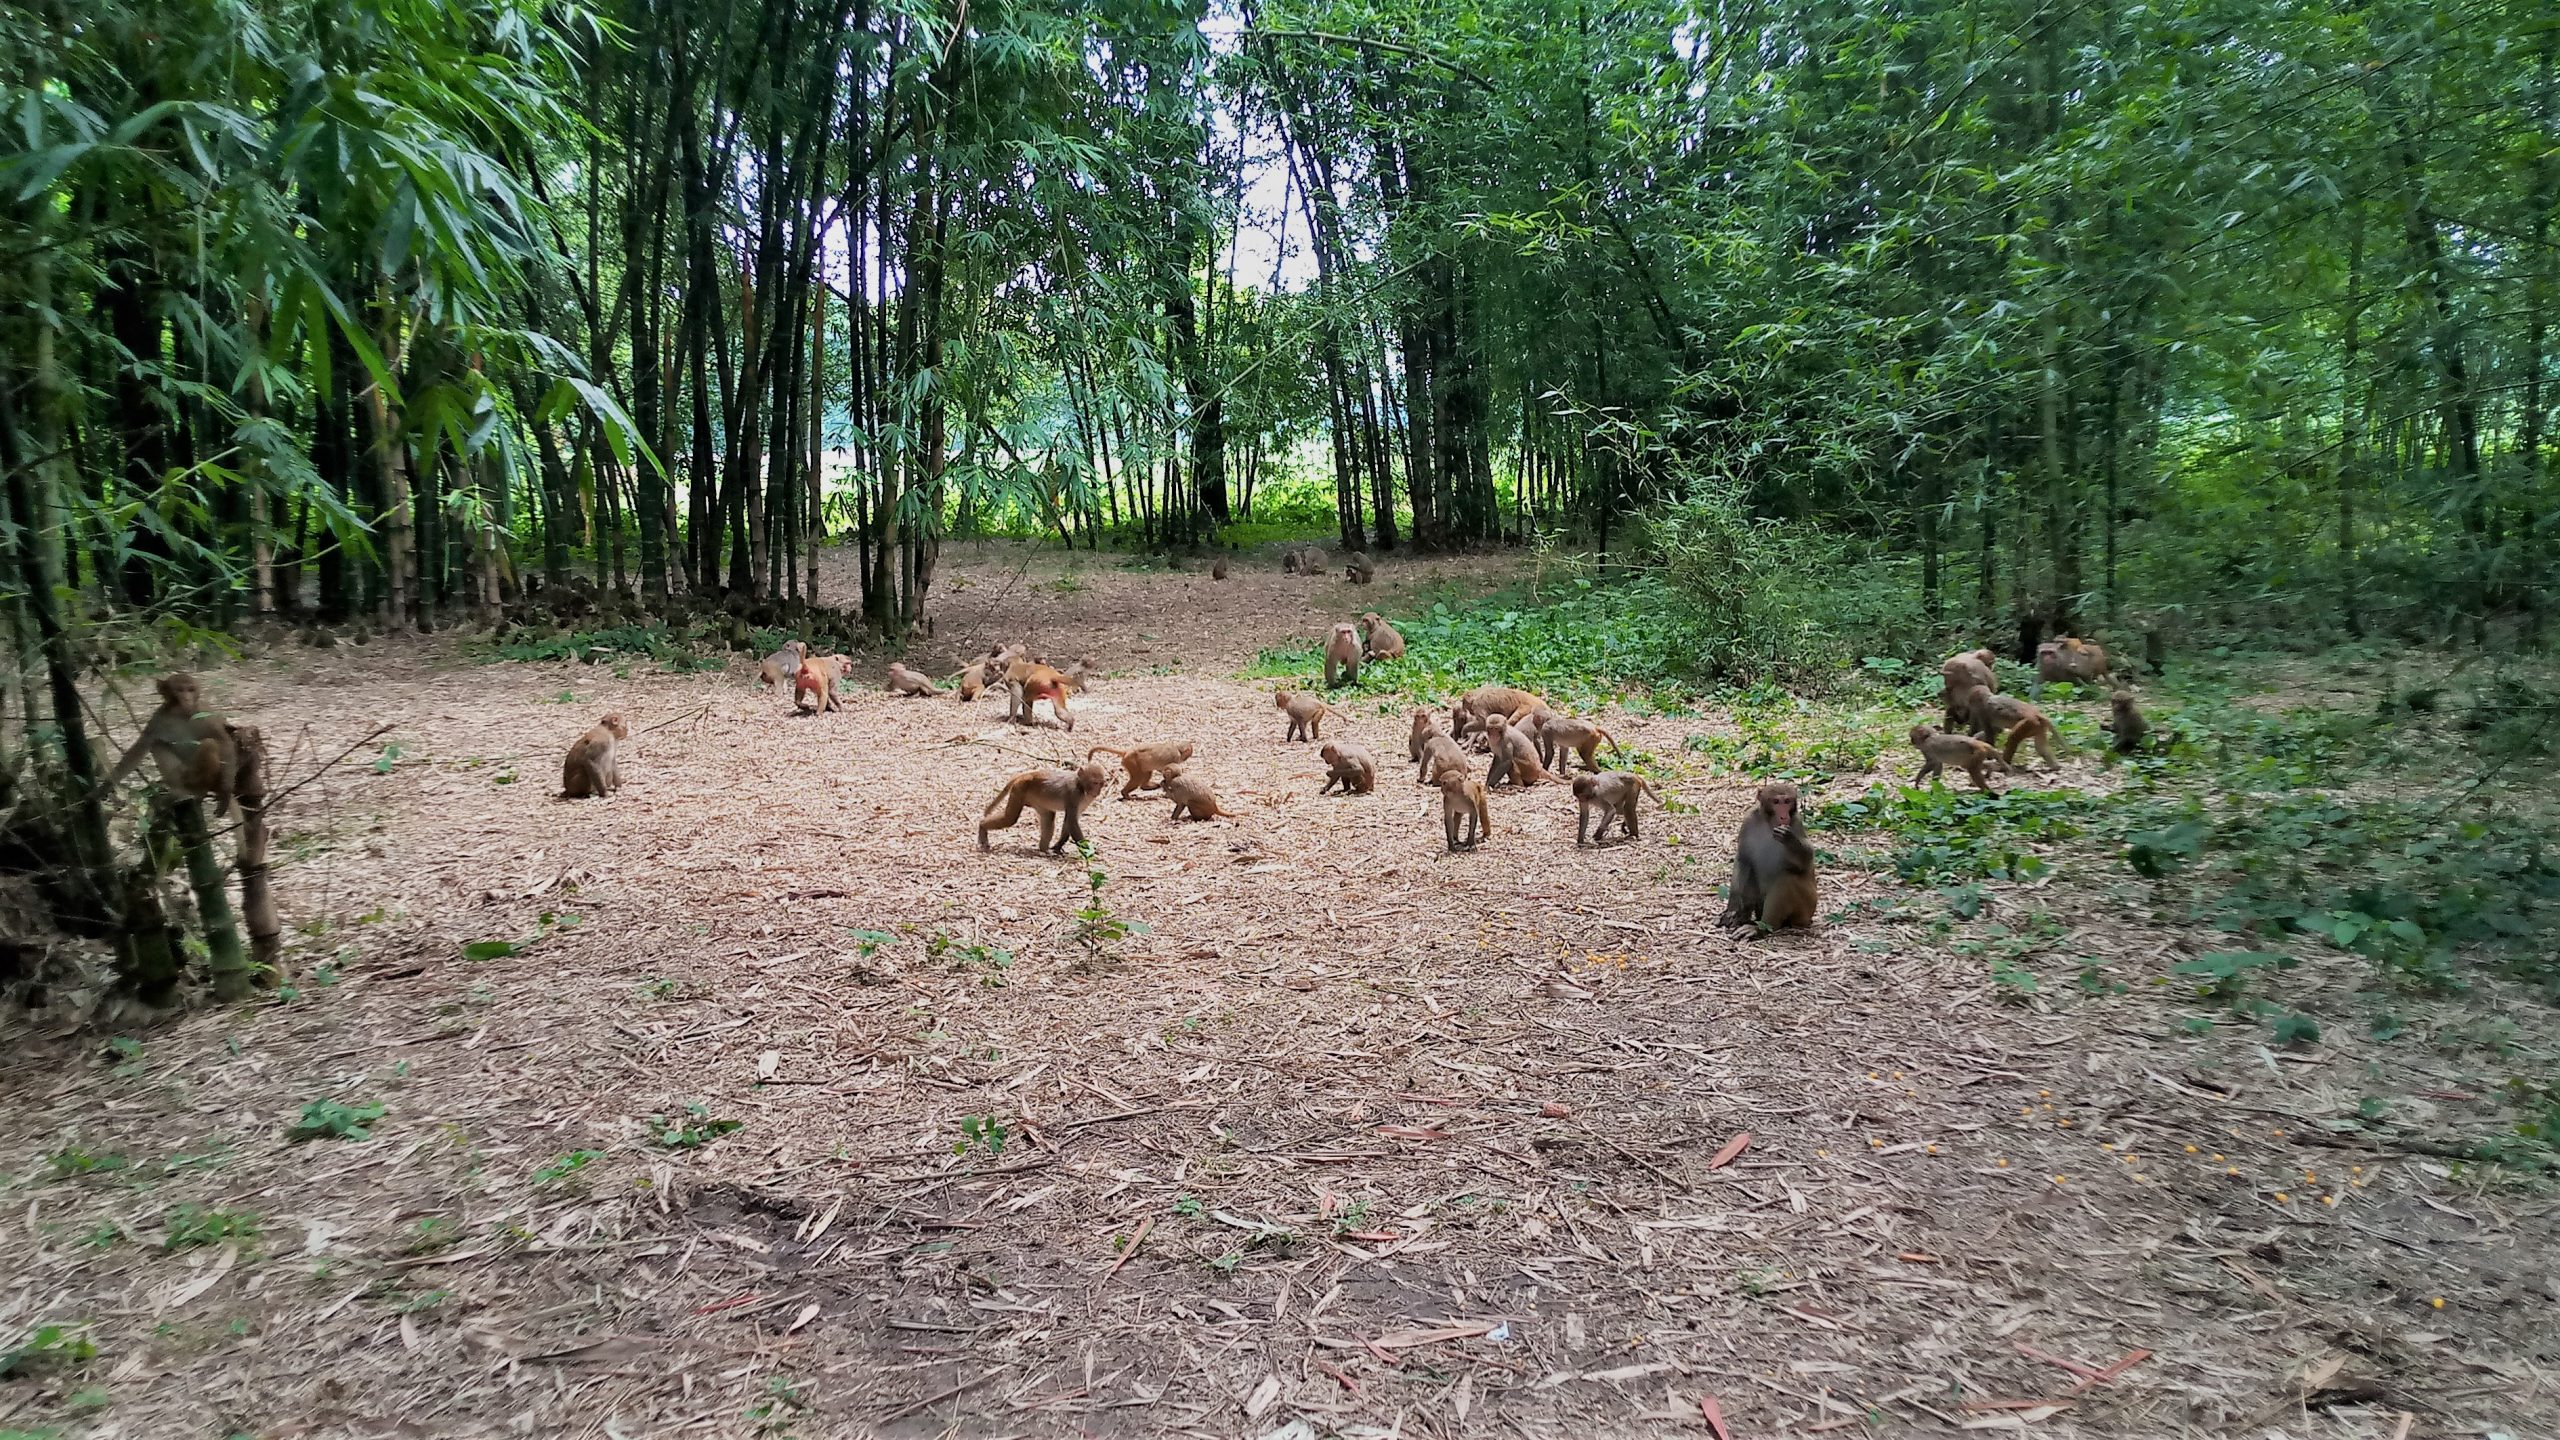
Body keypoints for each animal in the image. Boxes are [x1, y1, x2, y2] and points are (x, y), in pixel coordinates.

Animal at [103, 671, 240, 814]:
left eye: (191, 690)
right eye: (180, 690)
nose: (187, 699)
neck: (181, 713)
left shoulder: (205, 714)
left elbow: (222, 741)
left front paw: (226, 792)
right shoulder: (158, 719)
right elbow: (139, 749)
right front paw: (104, 787)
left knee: (209, 744)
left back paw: (200, 789)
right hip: (183, 774)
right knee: (158, 745)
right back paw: (178, 792)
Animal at [972, 763, 1105, 850]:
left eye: (1101, 783)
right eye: (1095, 782)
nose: (1097, 791)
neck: (1082, 787)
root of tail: (1026, 774)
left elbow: (1070, 820)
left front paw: (1058, 846)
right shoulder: (1073, 794)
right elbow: (1072, 821)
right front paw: (1088, 849)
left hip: (1036, 799)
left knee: (1049, 816)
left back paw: (1043, 849)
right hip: (1020, 788)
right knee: (1010, 818)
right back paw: (982, 826)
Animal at [1720, 784, 1822, 932]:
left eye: (1787, 801)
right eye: (1776, 802)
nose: (1783, 816)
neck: (1769, 823)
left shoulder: (1796, 822)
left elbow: (1806, 863)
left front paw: (1789, 839)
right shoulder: (1748, 819)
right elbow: (1744, 859)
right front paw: (1732, 908)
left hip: (1807, 907)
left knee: (1787, 879)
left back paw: (1761, 927)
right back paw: (1742, 917)